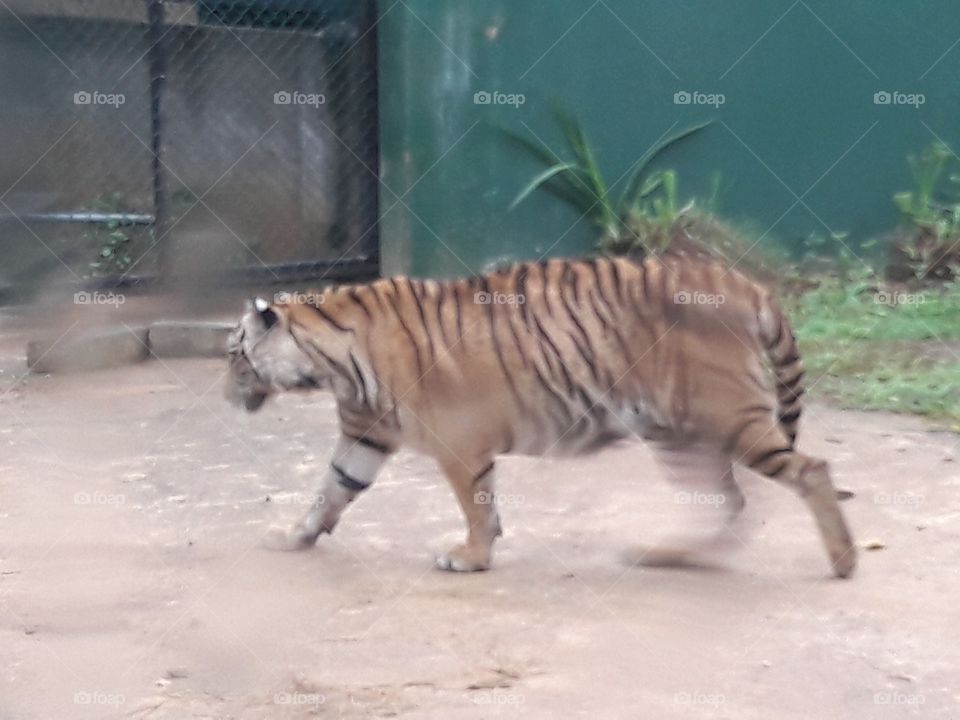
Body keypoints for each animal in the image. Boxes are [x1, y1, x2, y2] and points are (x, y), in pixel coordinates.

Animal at [224, 254, 856, 578]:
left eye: (234, 354)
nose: (226, 394)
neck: (333, 362)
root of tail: (746, 284)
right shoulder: (365, 436)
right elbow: (330, 490)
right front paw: (292, 537)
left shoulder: (459, 445)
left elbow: (477, 506)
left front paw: (470, 558)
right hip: (678, 433)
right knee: (729, 501)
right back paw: (665, 556)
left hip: (729, 418)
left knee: (811, 471)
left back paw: (844, 561)